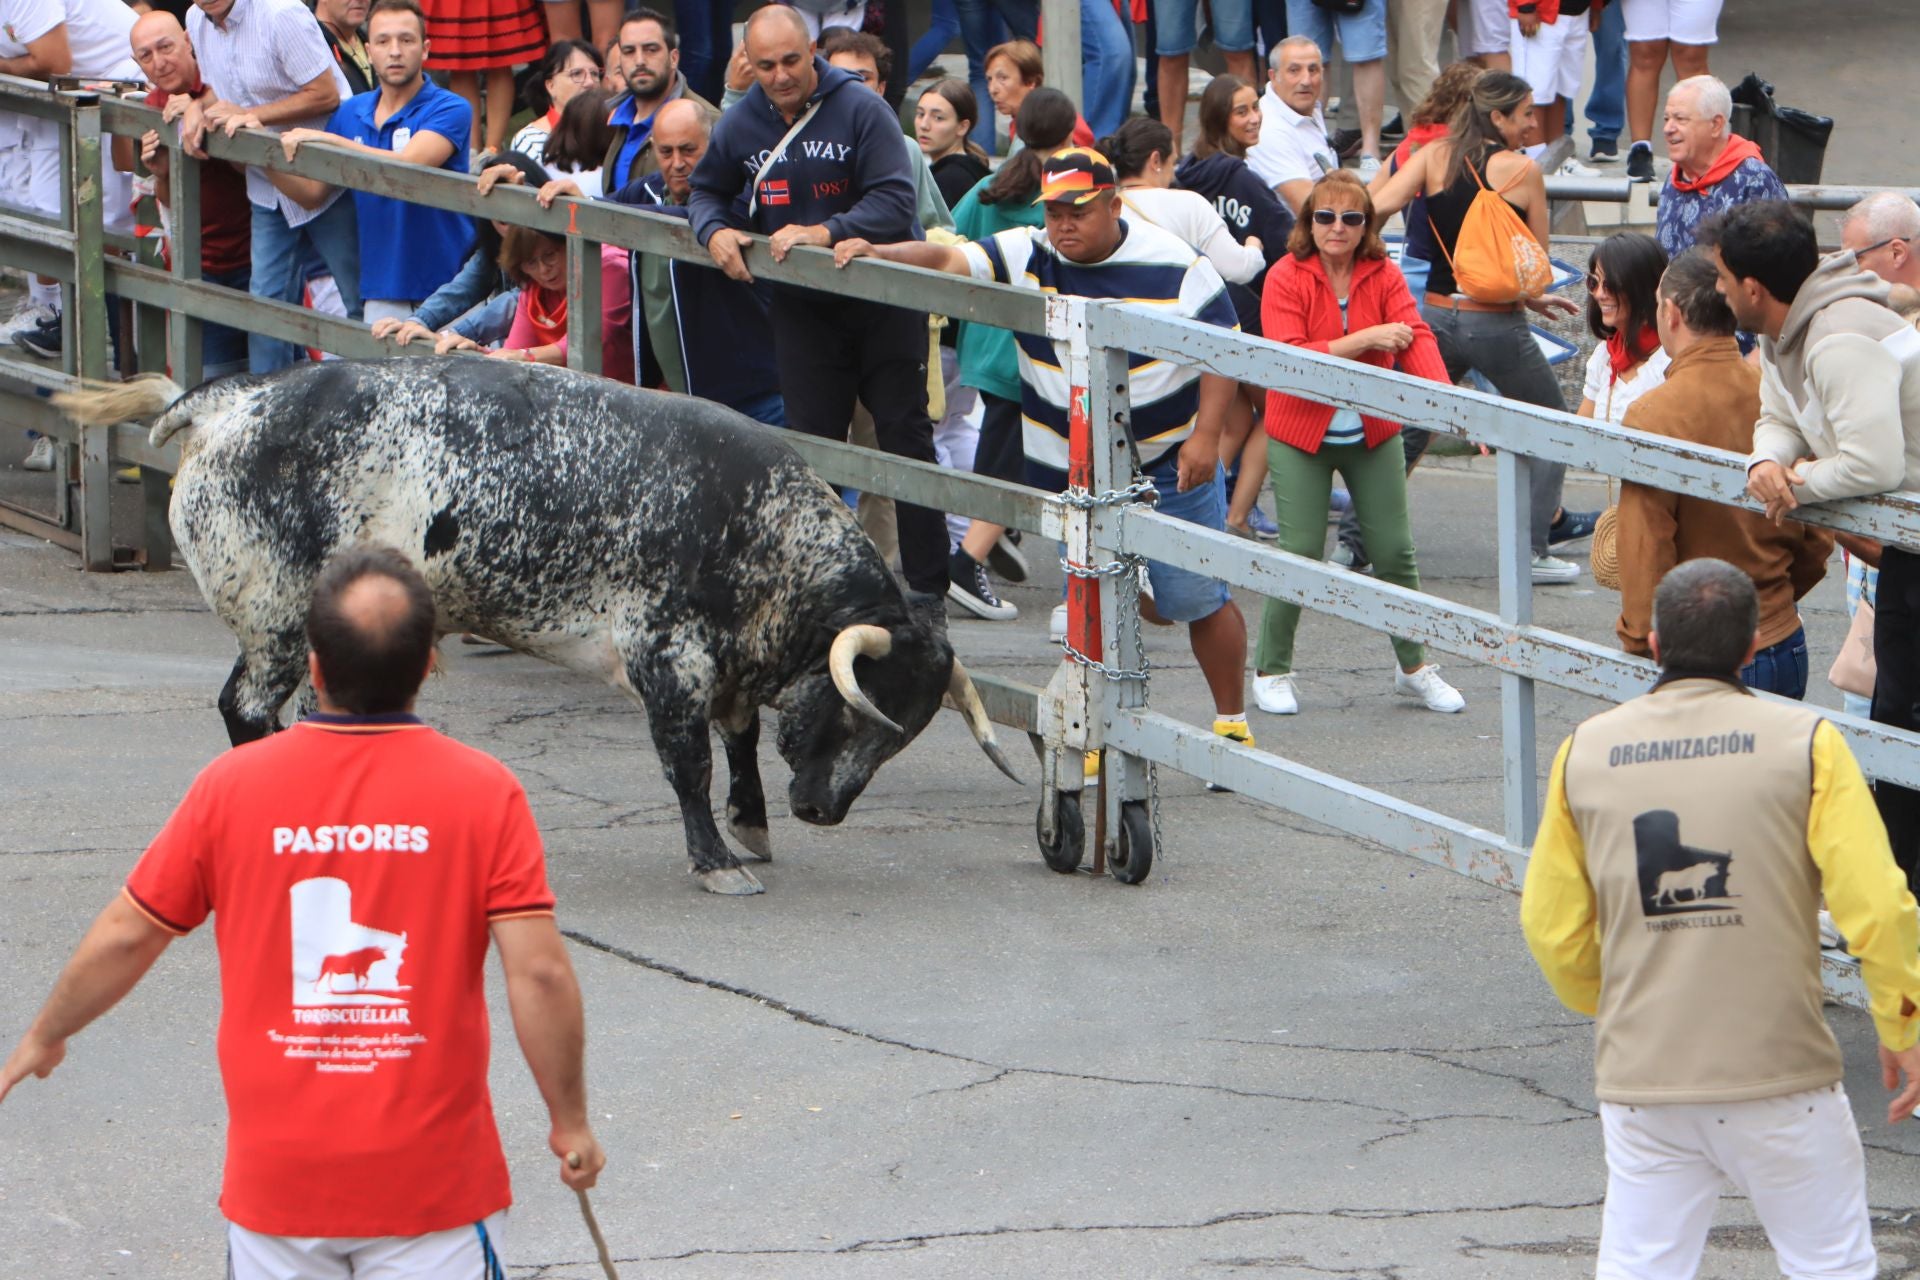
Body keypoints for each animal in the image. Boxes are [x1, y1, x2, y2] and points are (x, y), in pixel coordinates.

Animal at [60, 355, 1021, 898]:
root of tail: (230, 403)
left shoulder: (728, 665)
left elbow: (741, 740)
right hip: (274, 625)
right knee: (247, 713)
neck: (756, 527)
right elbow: (691, 764)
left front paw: (752, 822)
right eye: (863, 716)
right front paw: (716, 860)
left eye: (902, 734)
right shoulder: (666, 660)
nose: (824, 811)